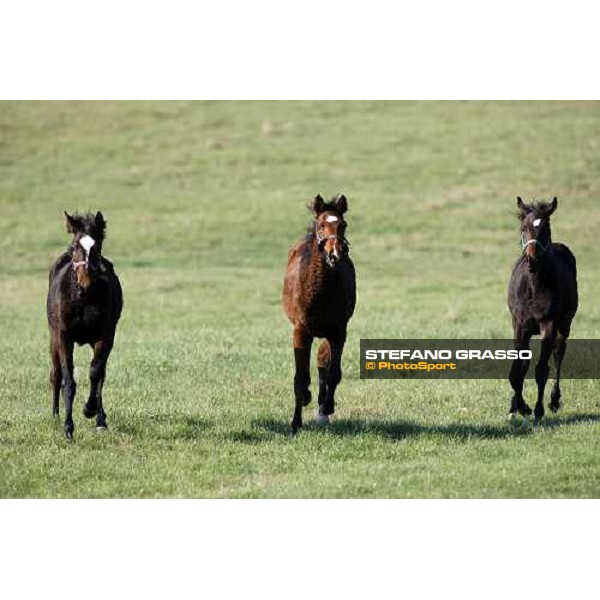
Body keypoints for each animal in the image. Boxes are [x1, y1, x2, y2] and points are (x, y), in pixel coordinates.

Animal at [282, 195, 354, 434]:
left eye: (343, 225)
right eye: (321, 225)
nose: (336, 253)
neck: (322, 290)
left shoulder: (338, 331)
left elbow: (333, 373)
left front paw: (327, 407)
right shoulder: (301, 330)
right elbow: (300, 377)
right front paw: (296, 422)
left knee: (323, 362)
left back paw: (323, 410)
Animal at [508, 198, 580, 422]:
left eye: (546, 228)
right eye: (523, 228)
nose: (532, 260)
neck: (534, 285)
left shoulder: (549, 323)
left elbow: (541, 370)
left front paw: (536, 410)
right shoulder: (519, 324)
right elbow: (516, 370)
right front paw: (519, 407)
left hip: (565, 323)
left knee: (558, 353)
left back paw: (554, 400)